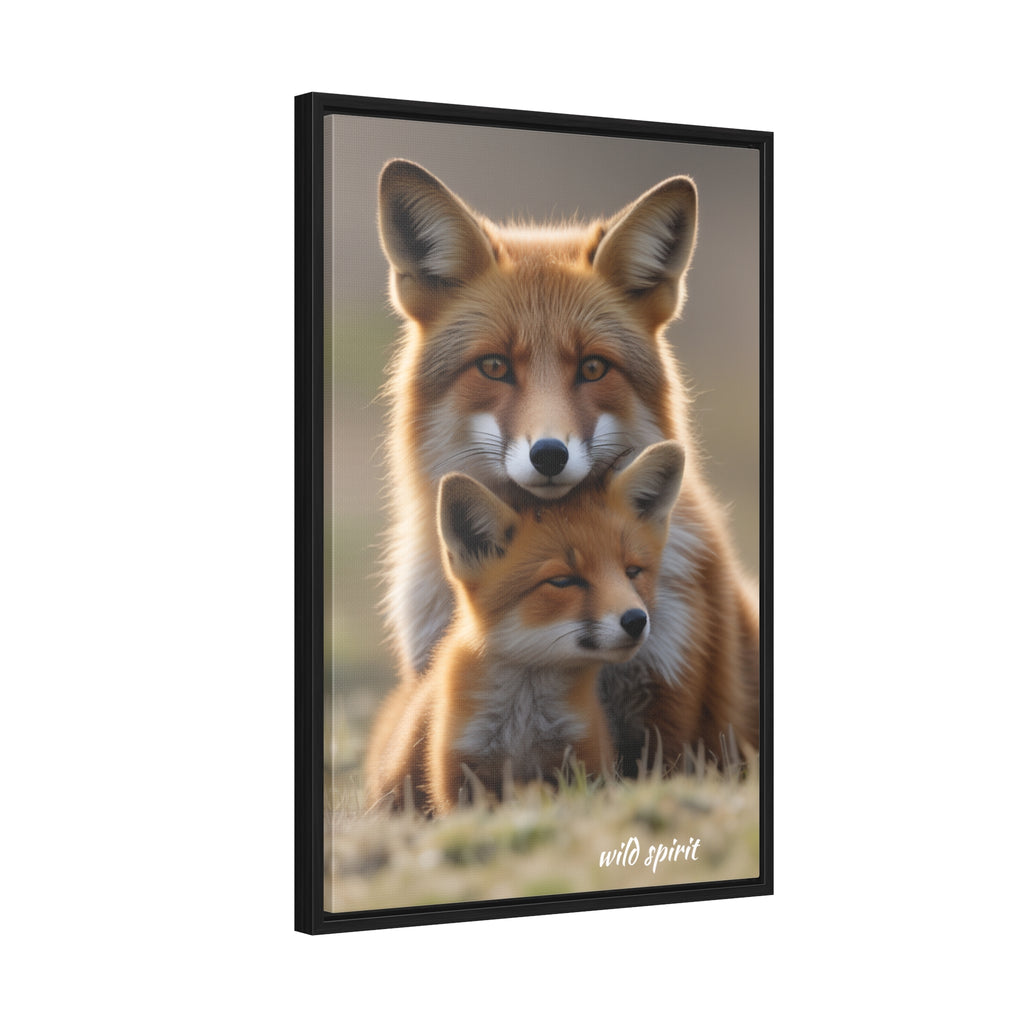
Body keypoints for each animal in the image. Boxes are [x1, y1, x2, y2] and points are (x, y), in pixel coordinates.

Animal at [364, 441, 685, 814]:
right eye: (563, 581)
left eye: (632, 572)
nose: (636, 620)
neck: (523, 726)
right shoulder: (458, 775)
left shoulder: (585, 759)